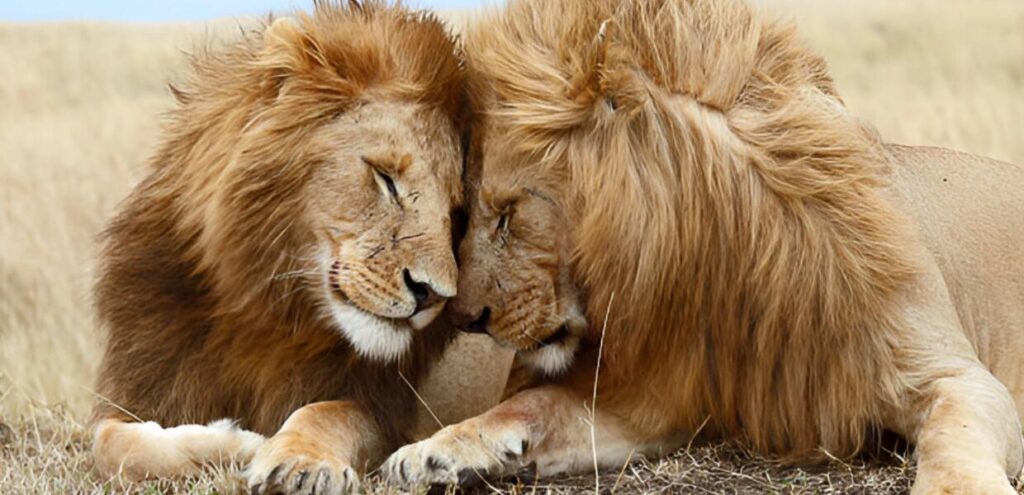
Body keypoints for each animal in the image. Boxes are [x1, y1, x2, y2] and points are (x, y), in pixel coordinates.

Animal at [88, 2, 512, 493]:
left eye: (456, 212)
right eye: (385, 178)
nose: (432, 295)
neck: (266, 308)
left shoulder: (382, 407)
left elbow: (325, 413)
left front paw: (296, 461)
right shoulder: (143, 385)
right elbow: (112, 444)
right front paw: (235, 443)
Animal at [383, 0, 1024, 493]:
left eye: (509, 213)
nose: (465, 318)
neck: (722, 259)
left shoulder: (954, 375)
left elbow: (953, 439)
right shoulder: (657, 400)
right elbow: (534, 405)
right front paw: (436, 450)